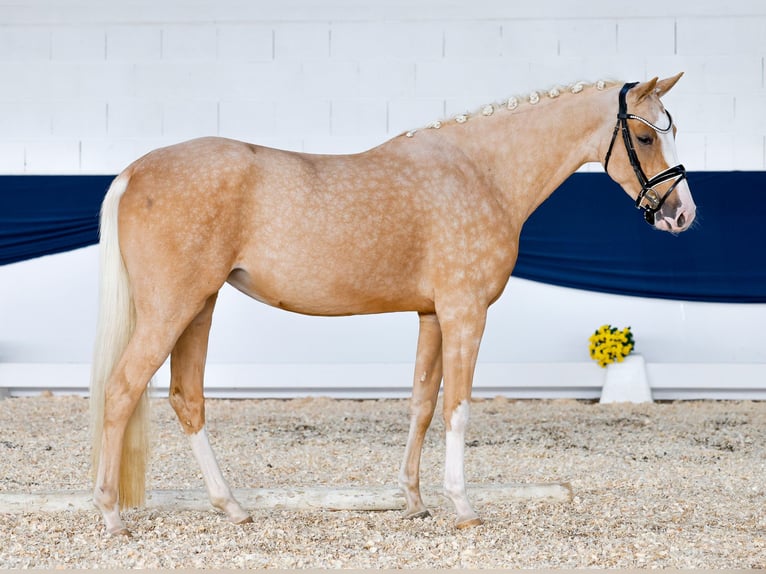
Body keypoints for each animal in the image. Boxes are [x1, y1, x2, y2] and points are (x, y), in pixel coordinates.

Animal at [88, 74, 696, 536]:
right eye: (645, 138)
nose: (682, 215)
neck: (482, 172)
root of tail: (134, 171)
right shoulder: (465, 312)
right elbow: (458, 407)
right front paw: (463, 506)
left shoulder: (431, 315)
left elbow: (422, 404)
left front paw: (415, 501)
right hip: (173, 308)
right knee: (121, 390)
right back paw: (111, 516)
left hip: (200, 305)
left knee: (187, 398)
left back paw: (232, 507)